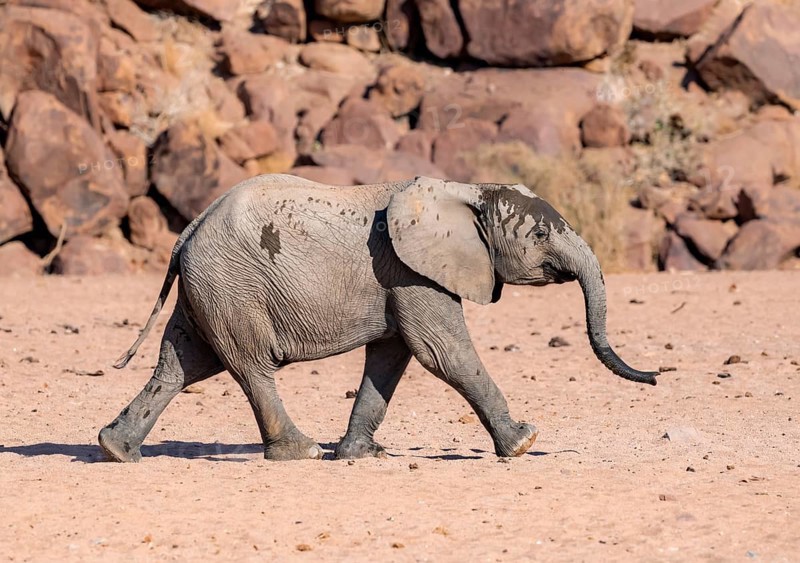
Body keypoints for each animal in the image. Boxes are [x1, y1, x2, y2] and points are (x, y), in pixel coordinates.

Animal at [99, 174, 657, 463]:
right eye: (541, 236)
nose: (655, 376)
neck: (467, 190)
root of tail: (188, 230)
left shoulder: (401, 279)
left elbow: (392, 358)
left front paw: (358, 455)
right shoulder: (413, 272)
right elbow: (442, 354)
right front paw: (523, 443)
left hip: (210, 289)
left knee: (183, 364)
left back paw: (116, 450)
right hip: (232, 285)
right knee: (250, 367)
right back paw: (302, 452)